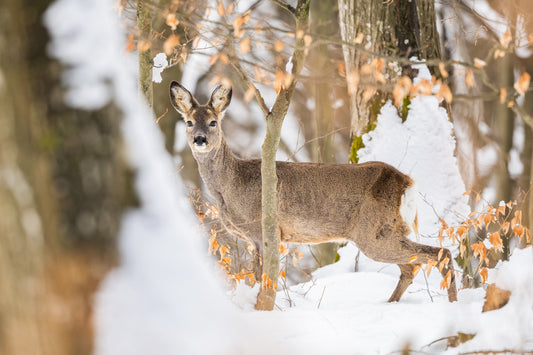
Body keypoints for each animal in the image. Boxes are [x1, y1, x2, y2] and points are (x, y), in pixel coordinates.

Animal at [170, 82, 458, 304]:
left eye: (213, 122)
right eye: (189, 122)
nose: (199, 139)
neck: (231, 187)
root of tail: (406, 181)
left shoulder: (264, 230)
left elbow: (263, 278)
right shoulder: (254, 238)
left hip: (374, 233)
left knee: (439, 253)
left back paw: (453, 304)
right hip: (387, 231)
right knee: (412, 266)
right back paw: (391, 304)